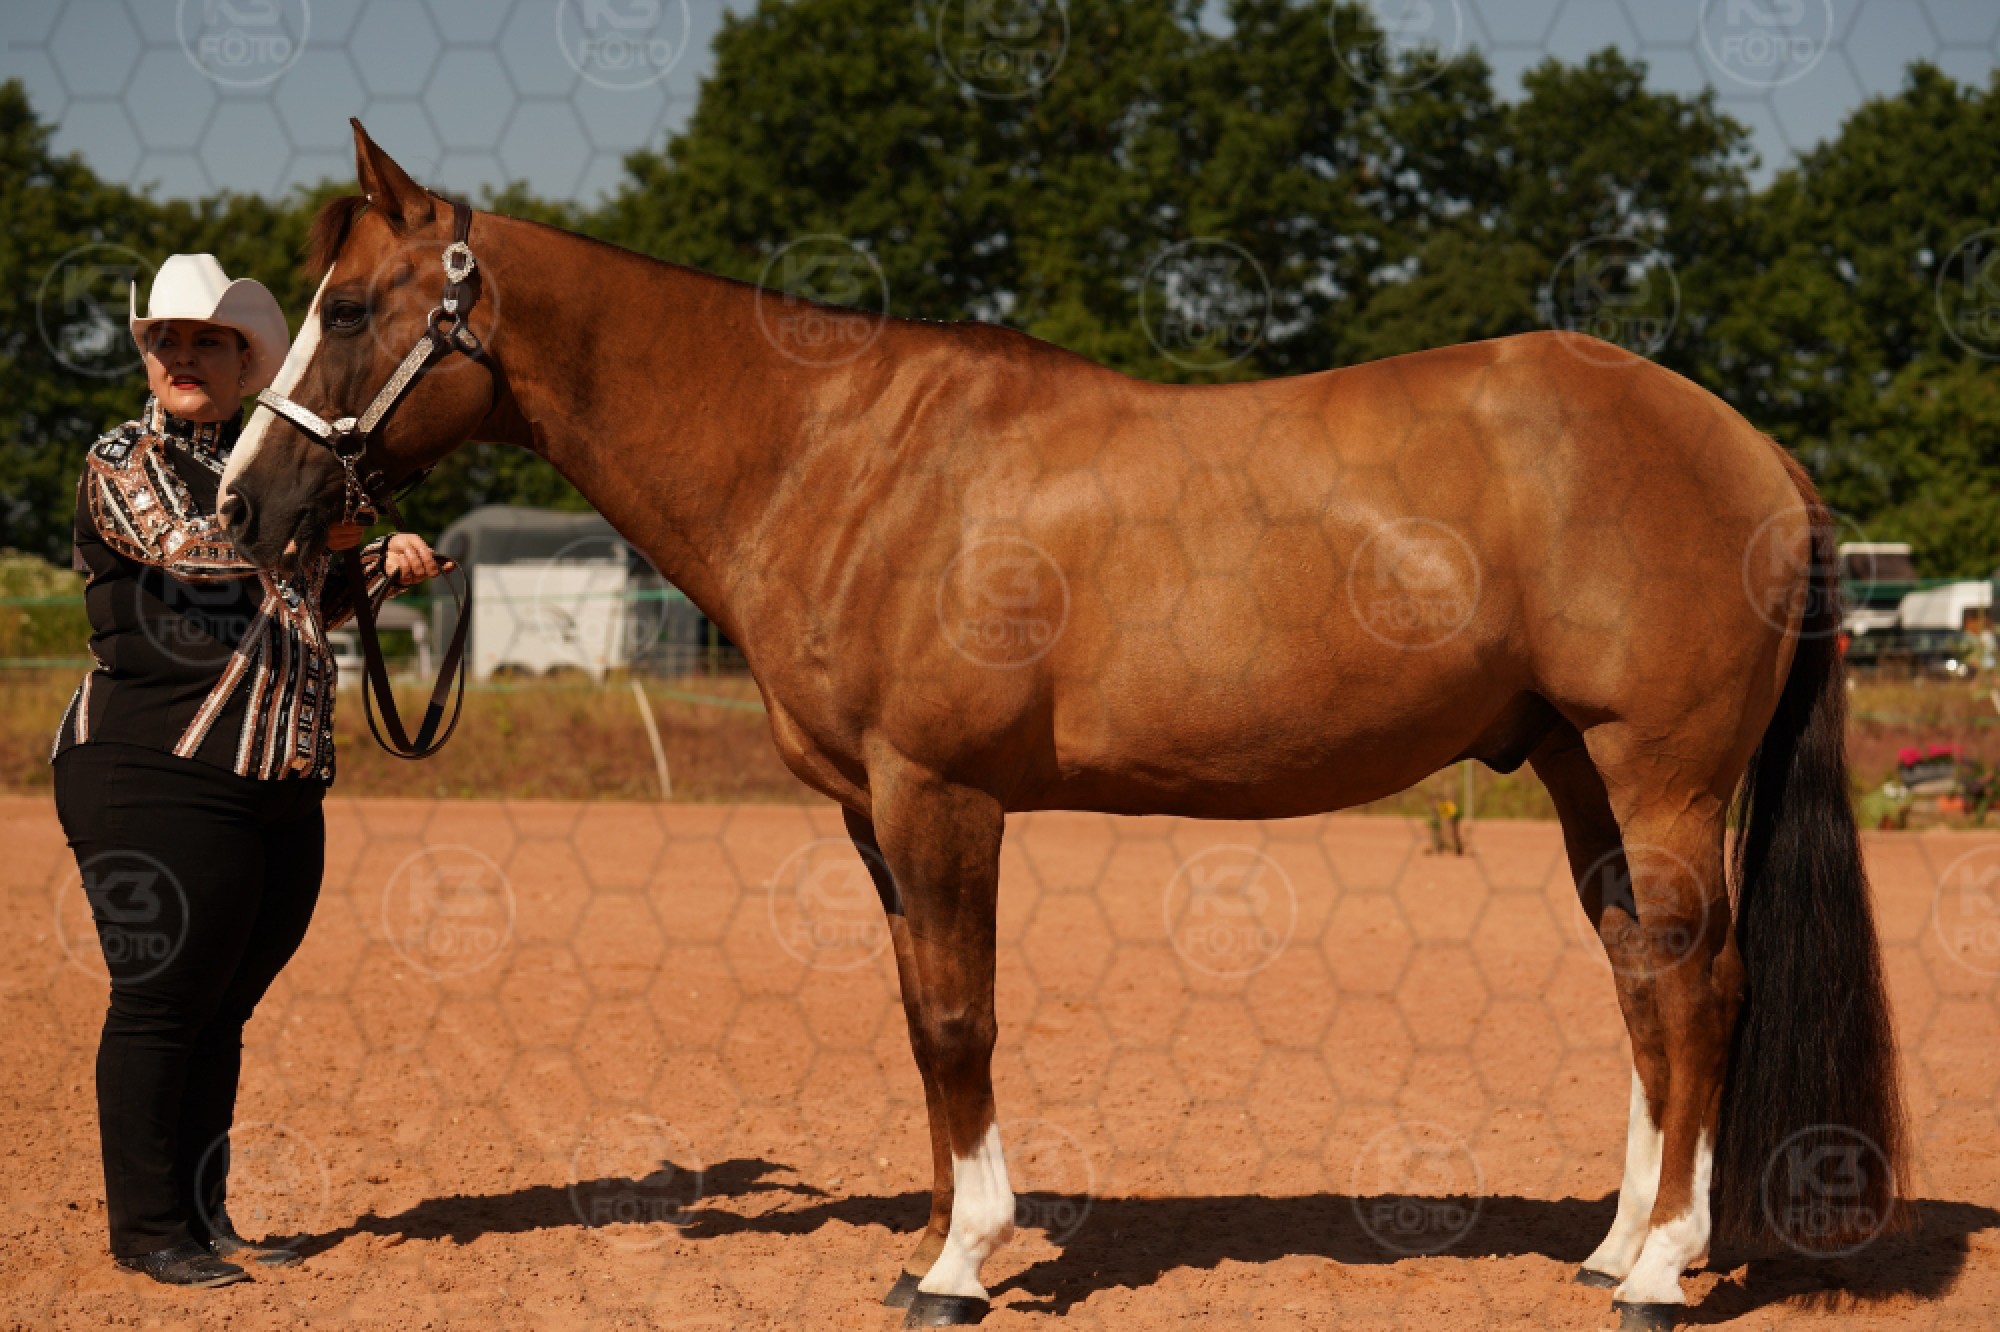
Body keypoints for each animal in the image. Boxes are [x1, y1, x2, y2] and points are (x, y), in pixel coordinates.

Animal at [218, 122, 1906, 1329]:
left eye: (349, 309)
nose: (244, 504)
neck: (833, 456)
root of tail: (1751, 449)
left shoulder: (940, 796)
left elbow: (960, 1020)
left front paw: (961, 1267)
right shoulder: (874, 815)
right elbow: (920, 1017)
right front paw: (937, 1240)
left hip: (1663, 777)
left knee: (1703, 990)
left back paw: (1660, 1275)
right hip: (1577, 773)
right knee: (1641, 988)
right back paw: (1616, 1244)